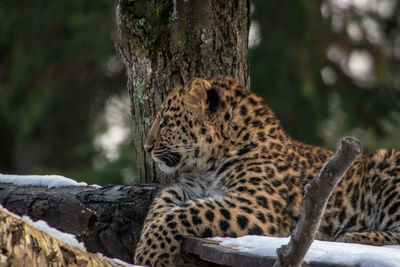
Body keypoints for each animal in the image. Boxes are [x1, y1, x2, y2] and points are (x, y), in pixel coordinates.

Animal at [134, 76, 400, 266]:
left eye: (166, 121)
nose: (146, 147)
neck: (207, 165)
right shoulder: (192, 188)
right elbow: (162, 203)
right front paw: (145, 241)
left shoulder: (255, 205)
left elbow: (185, 213)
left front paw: (150, 254)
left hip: (386, 166)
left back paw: (353, 236)